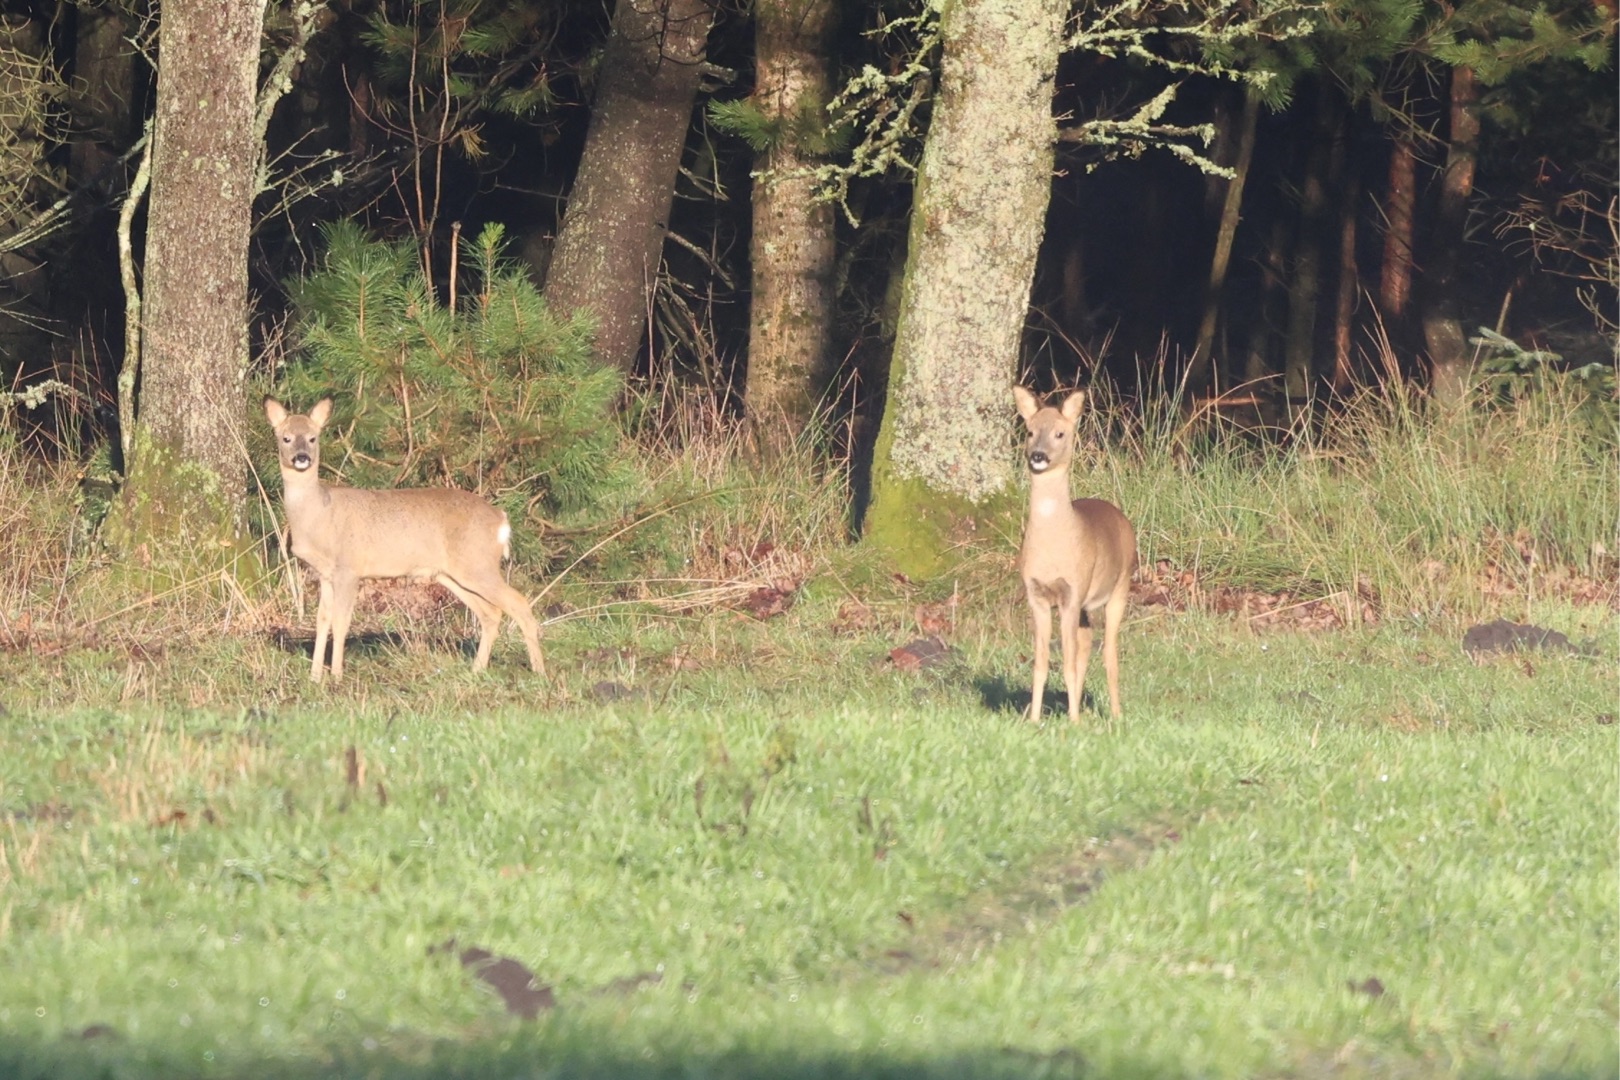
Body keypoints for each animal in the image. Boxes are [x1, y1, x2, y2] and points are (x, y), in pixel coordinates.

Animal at [264, 397, 544, 684]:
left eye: (313, 437)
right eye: (286, 438)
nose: (302, 458)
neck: (319, 515)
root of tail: (501, 520)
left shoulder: (349, 569)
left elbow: (341, 622)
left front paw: (337, 677)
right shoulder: (325, 573)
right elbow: (322, 621)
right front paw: (315, 677)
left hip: (478, 564)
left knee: (520, 604)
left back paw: (539, 672)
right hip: (454, 573)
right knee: (491, 613)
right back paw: (477, 669)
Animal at [1013, 386, 1137, 722]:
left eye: (1060, 433)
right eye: (1030, 431)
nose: (1038, 456)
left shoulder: (1072, 591)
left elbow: (1067, 664)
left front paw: (1074, 723)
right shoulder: (1037, 594)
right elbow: (1042, 663)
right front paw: (1035, 720)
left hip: (1122, 585)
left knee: (1109, 653)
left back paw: (1116, 716)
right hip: (1084, 606)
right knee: (1084, 649)